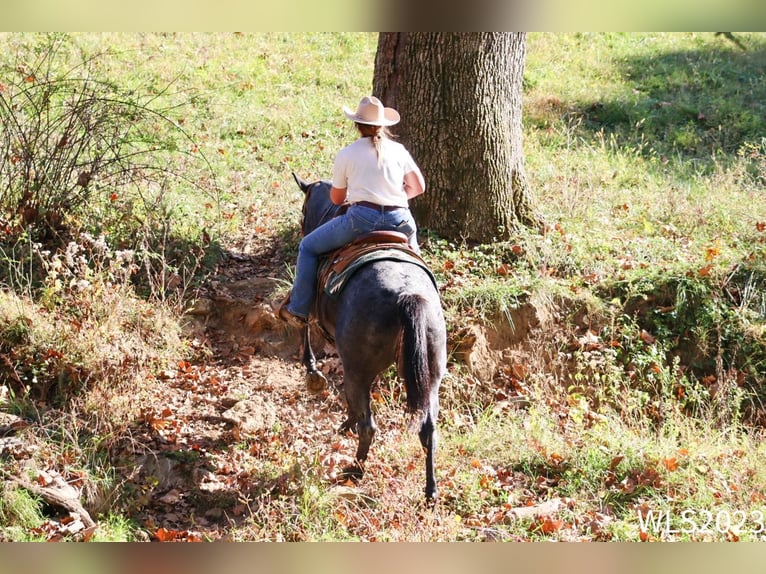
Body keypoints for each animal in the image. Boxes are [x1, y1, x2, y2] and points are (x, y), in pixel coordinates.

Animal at [294, 173, 450, 502]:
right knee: (429, 428)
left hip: (358, 369)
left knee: (369, 425)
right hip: (432, 372)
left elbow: (303, 327)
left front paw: (313, 372)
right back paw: (431, 489)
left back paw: (355, 469)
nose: (303, 227)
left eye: (303, 210)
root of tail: (408, 295)